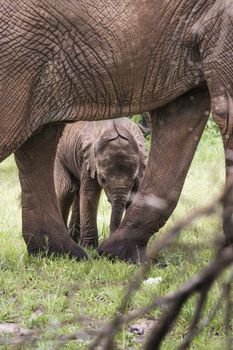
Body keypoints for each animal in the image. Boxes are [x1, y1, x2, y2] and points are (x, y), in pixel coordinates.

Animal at [53, 119, 147, 247]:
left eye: (133, 179)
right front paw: (89, 247)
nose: (110, 240)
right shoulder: (88, 159)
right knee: (66, 190)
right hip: (59, 154)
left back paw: (74, 240)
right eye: (103, 179)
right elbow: (90, 195)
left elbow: (136, 196)